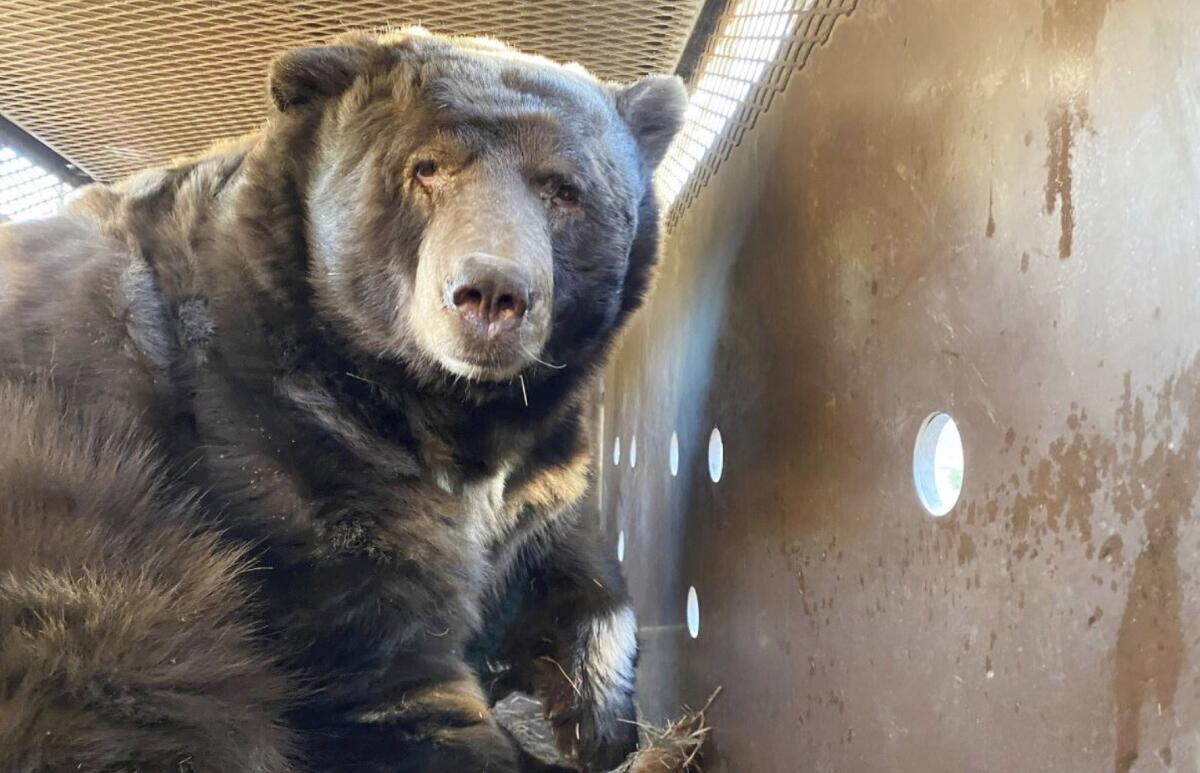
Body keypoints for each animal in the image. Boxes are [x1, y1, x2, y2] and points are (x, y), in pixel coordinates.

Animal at [0, 25, 686, 773]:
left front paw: (597, 717)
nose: (492, 292)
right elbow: (386, 671)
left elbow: (576, 562)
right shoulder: (286, 447)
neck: (447, 409)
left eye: (564, 189)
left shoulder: (542, 474)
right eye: (427, 168)